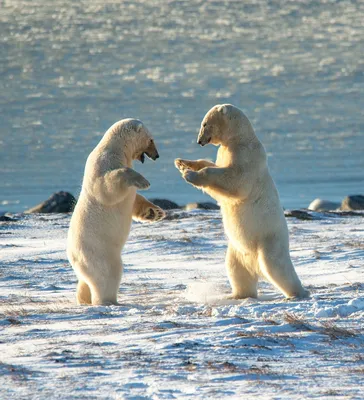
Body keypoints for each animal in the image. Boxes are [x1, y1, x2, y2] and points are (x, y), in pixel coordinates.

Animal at [67, 117, 166, 304]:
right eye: (151, 140)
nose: (157, 155)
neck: (116, 148)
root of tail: (73, 258)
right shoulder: (102, 163)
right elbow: (107, 186)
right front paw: (144, 181)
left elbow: (134, 200)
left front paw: (155, 212)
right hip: (98, 252)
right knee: (107, 274)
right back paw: (108, 301)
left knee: (85, 282)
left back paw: (84, 298)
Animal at [175, 104, 308, 298]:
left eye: (205, 123)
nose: (199, 141)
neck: (239, 137)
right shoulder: (225, 151)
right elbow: (216, 171)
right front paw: (183, 163)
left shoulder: (245, 154)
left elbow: (235, 180)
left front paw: (190, 174)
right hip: (237, 250)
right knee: (235, 269)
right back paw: (238, 294)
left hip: (268, 241)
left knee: (277, 267)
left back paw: (298, 292)